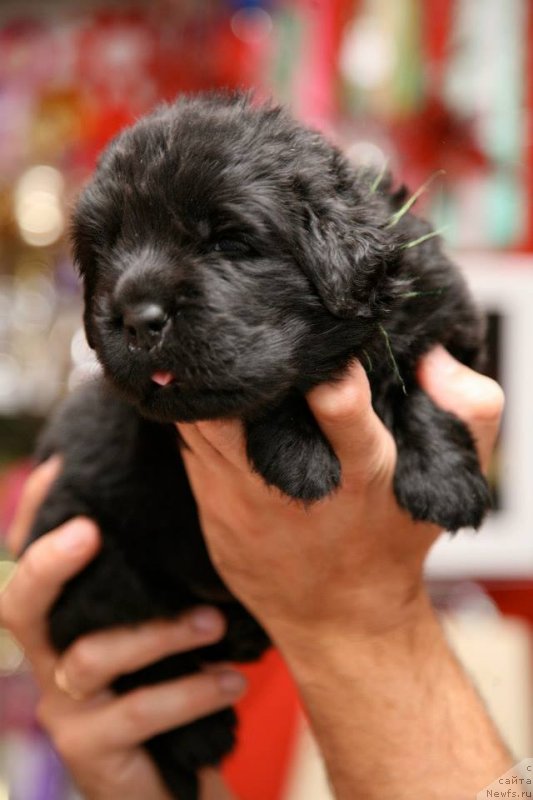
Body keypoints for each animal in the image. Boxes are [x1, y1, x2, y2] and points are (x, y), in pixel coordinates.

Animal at [27, 90, 488, 796]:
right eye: (104, 253)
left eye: (230, 240)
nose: (135, 317)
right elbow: (267, 387)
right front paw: (300, 458)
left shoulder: (444, 311)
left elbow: (420, 379)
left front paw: (446, 481)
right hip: (94, 557)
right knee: (135, 659)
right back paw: (198, 730)